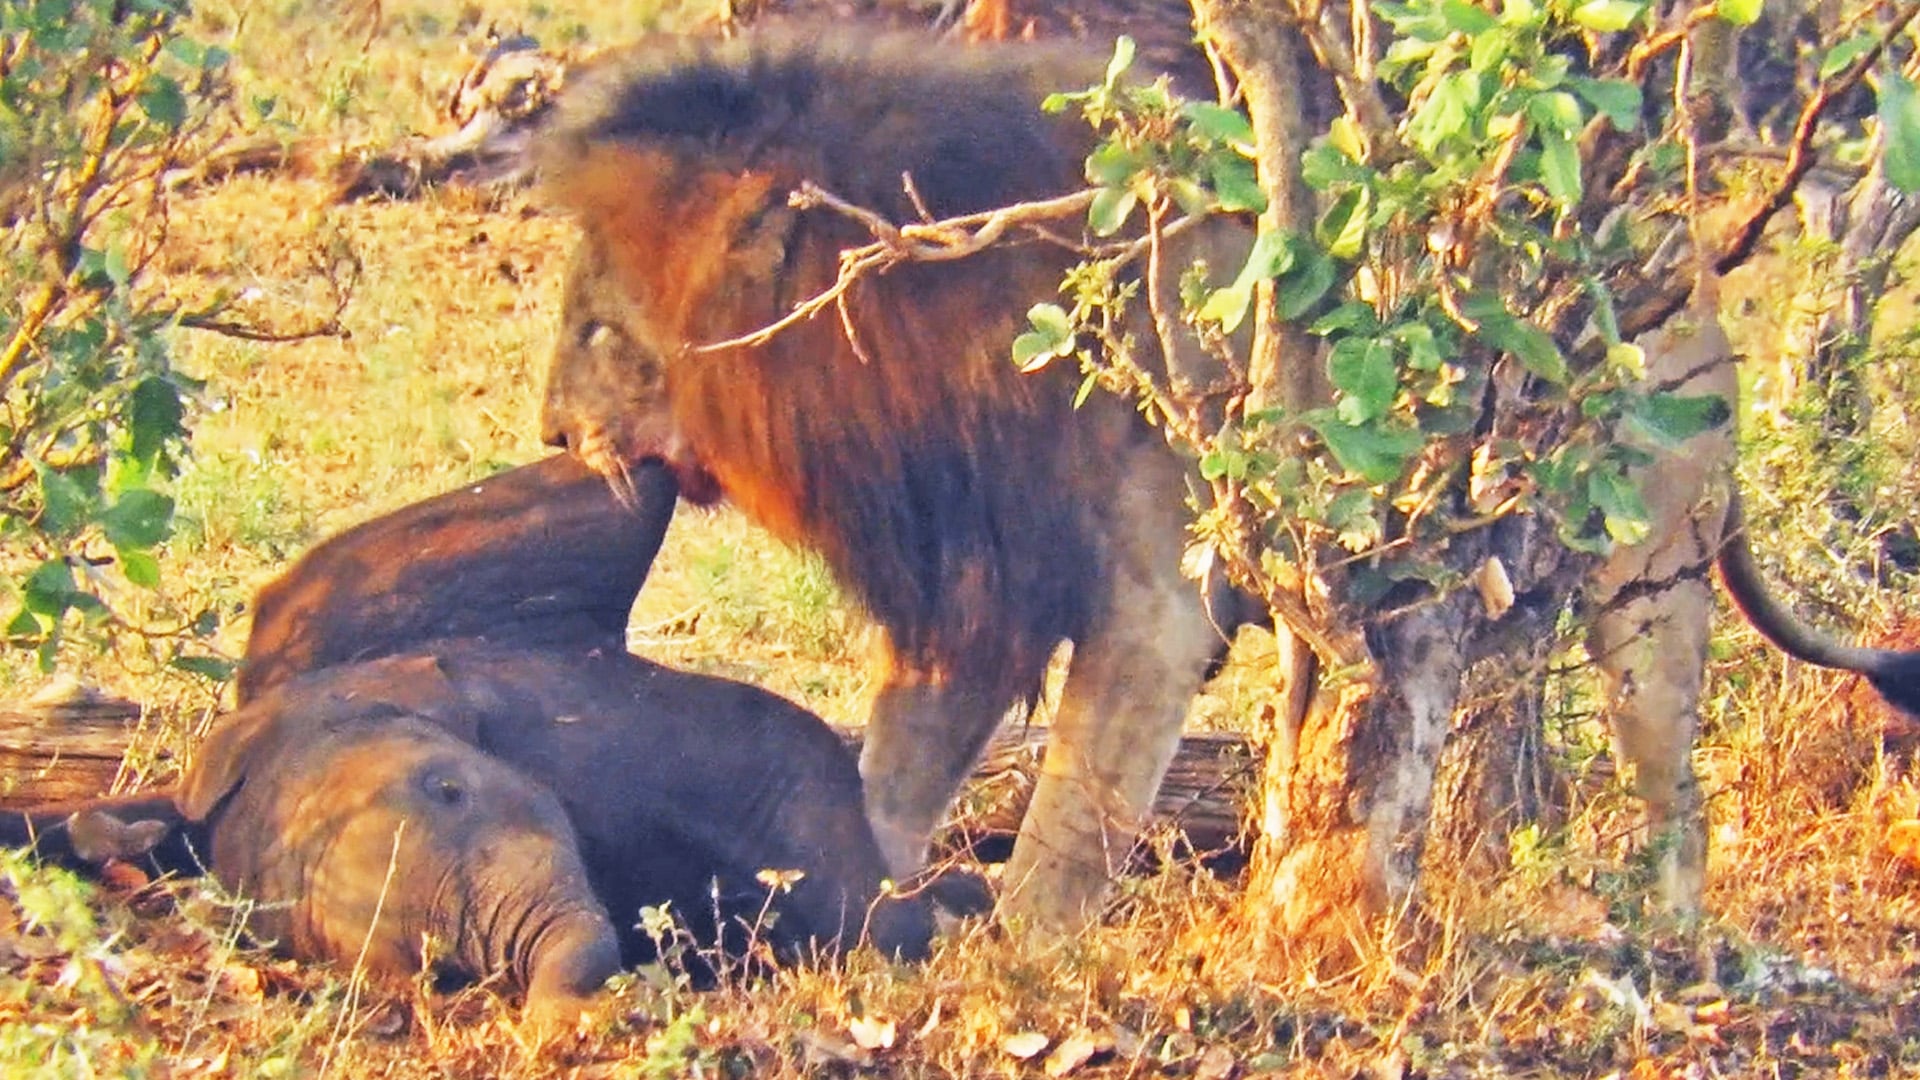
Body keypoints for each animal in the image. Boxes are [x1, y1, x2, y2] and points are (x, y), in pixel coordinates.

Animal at [532, 26, 1920, 927]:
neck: (926, 346)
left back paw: (1671, 943)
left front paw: (1009, 968)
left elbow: (1071, 820)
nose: (549, 434)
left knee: (1672, 779)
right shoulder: (982, 582)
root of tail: (1679, 264)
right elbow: (890, 782)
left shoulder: (1155, 601)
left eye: (600, 332)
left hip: (1651, 570)